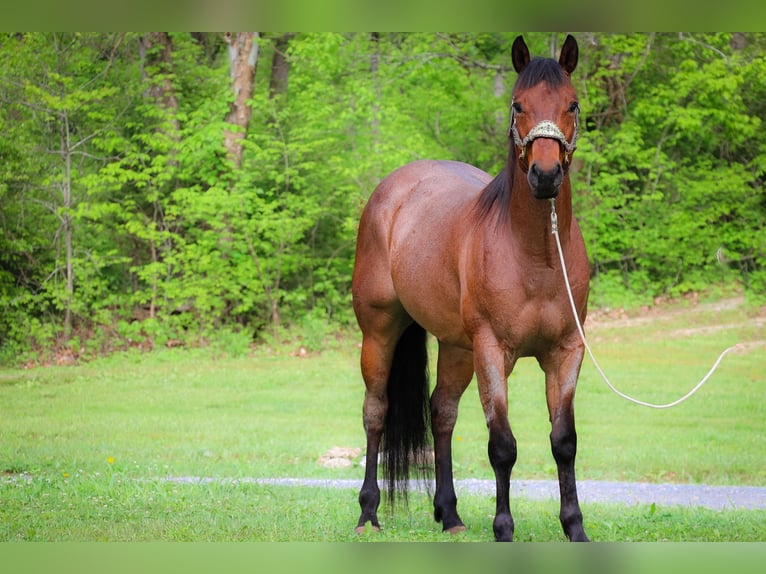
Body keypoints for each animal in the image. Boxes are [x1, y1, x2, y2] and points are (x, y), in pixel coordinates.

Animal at [352, 33, 592, 544]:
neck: (538, 254)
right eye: (518, 105)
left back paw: (450, 514)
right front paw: (504, 530)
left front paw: (575, 528)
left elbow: (564, 442)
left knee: (442, 413)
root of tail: (392, 189)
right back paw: (368, 513)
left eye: (572, 104)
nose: (545, 175)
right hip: (380, 332)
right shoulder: (492, 350)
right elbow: (502, 445)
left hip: (456, 347)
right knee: (375, 411)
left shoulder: (566, 351)